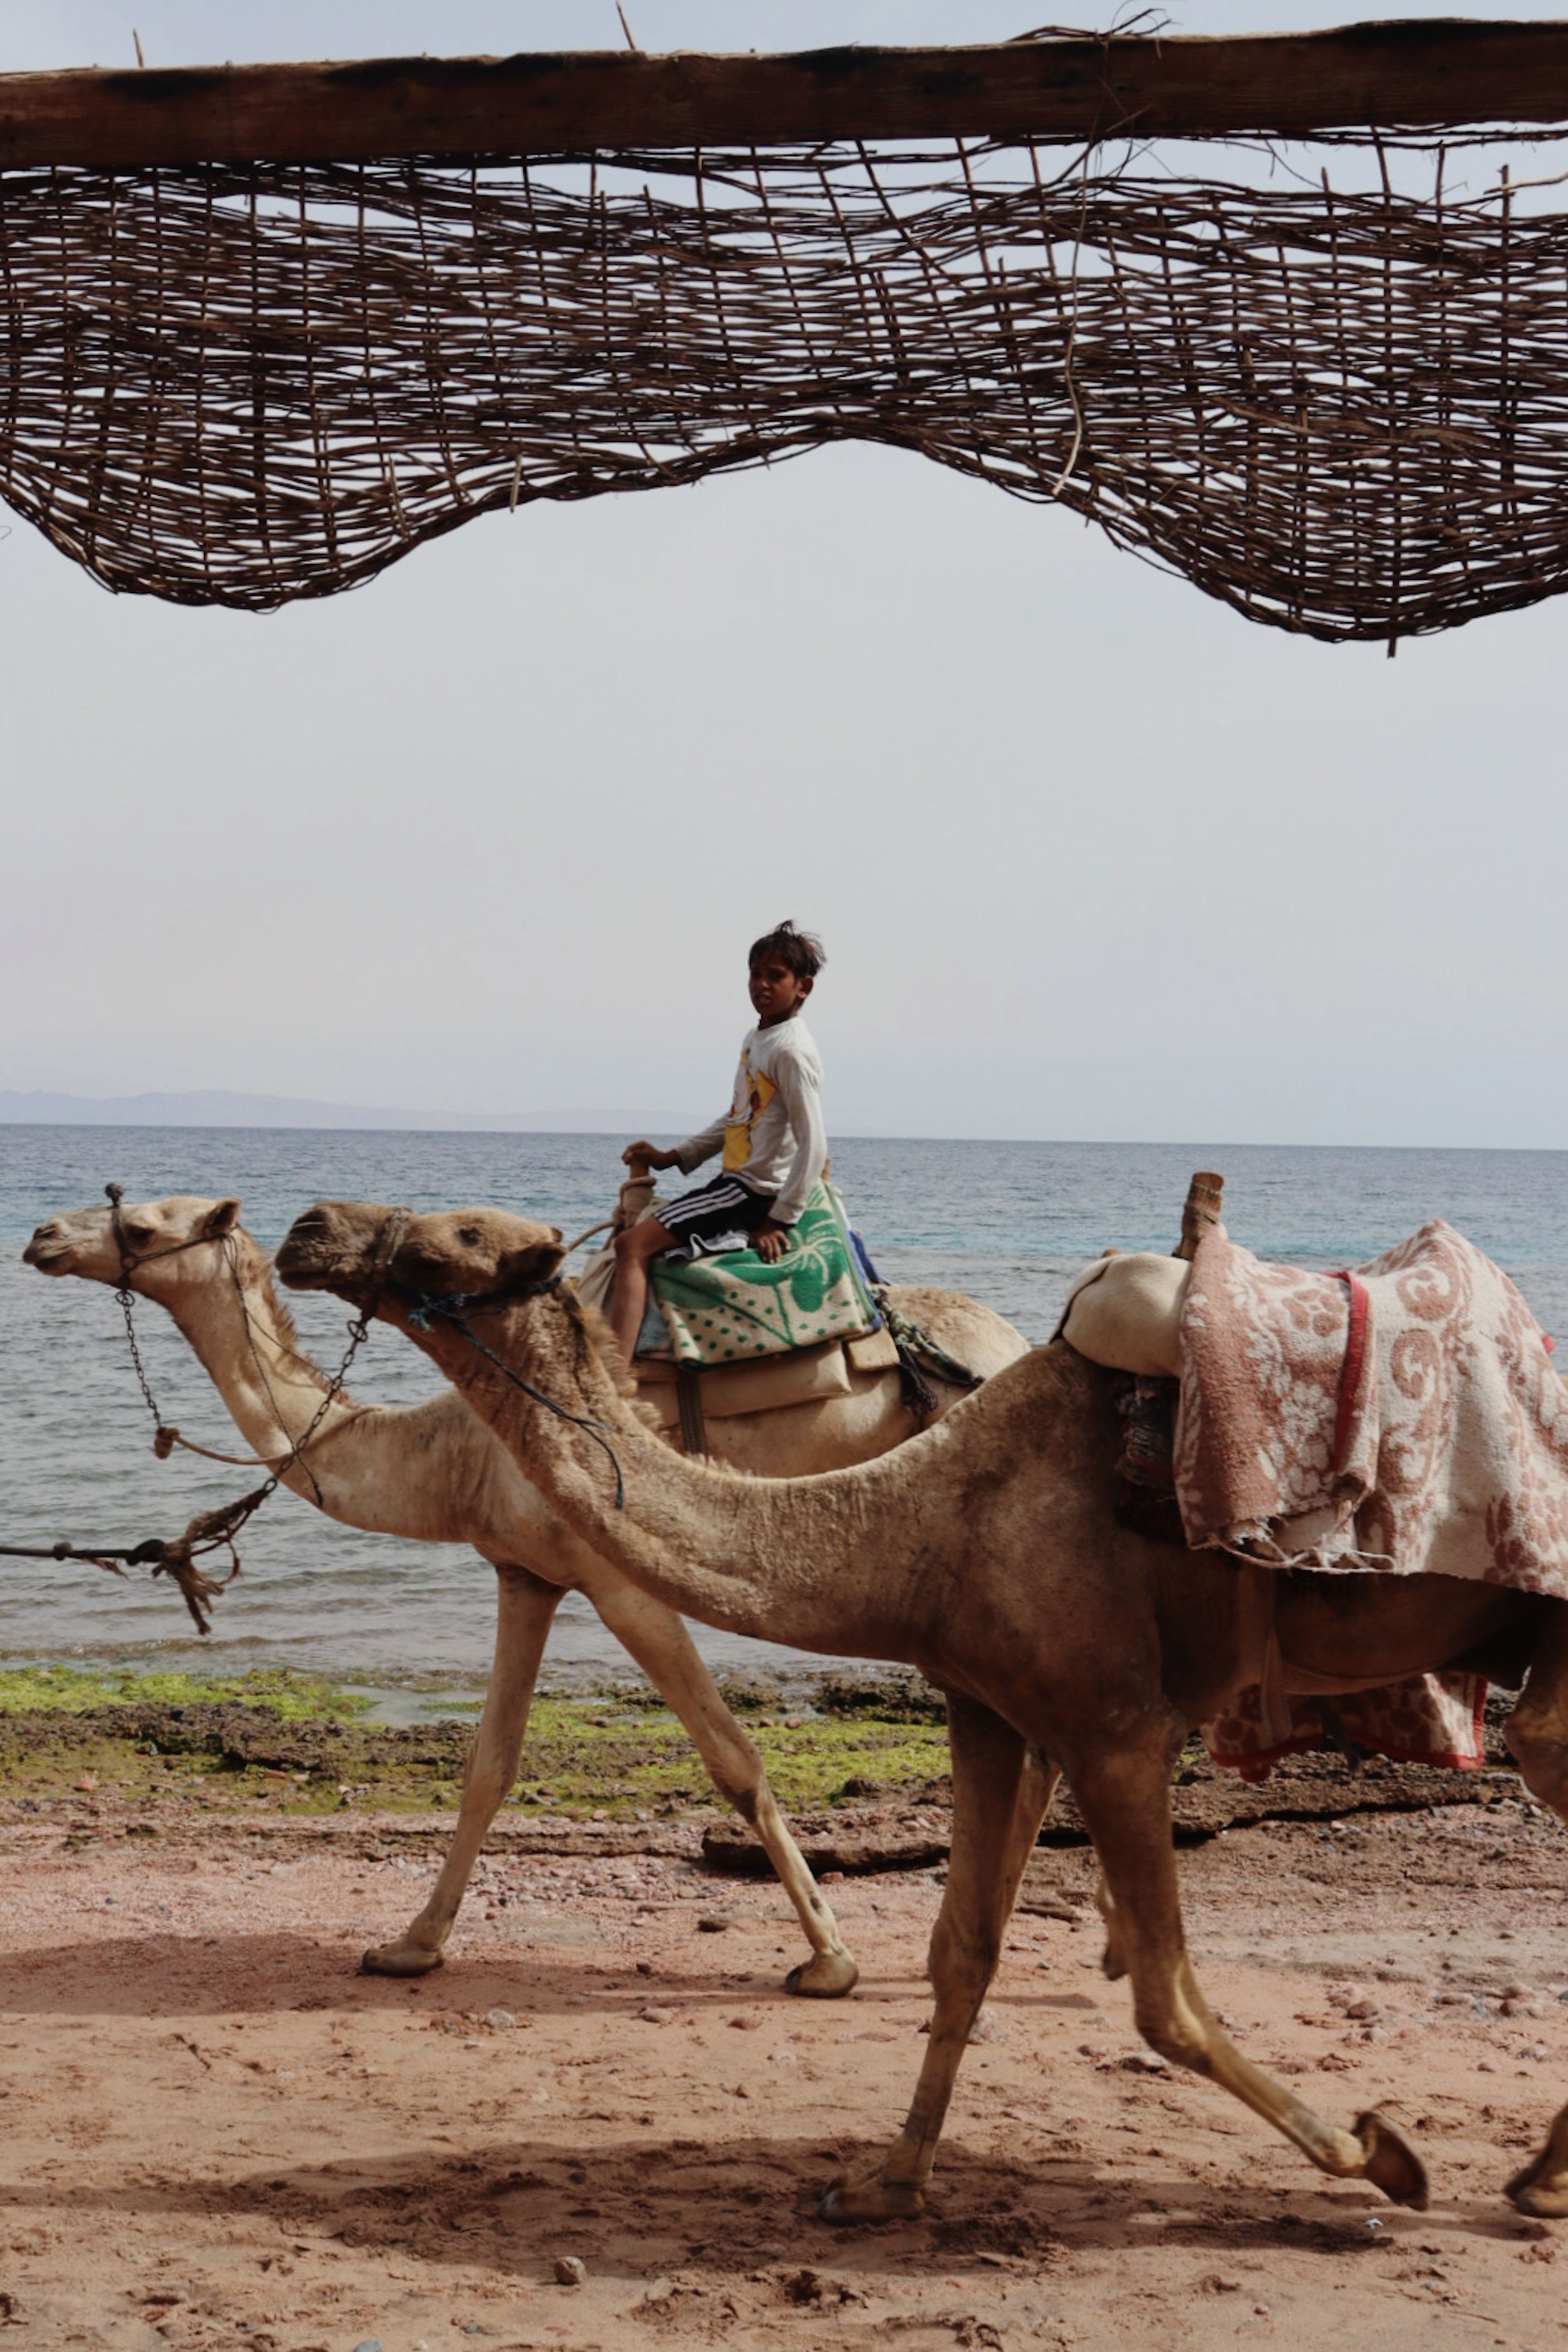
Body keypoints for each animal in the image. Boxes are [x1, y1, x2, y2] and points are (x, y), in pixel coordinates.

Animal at [24, 1192, 1025, 1993]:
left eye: (144, 1224)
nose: (40, 1235)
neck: (450, 1451)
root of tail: (1009, 1339)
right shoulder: (527, 1576)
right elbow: (488, 1767)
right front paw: (410, 1946)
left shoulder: (620, 1577)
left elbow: (734, 1761)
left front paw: (828, 1960)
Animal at [273, 1196, 1568, 2226]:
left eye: (450, 1241)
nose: (308, 1226)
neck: (927, 1527)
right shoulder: (987, 1708)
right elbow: (962, 1953)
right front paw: (886, 2182)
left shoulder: (1115, 1727)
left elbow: (1164, 1999)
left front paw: (1379, 2154)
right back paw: (1539, 2174)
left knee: (1535, 1749)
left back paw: (1533, 2178)